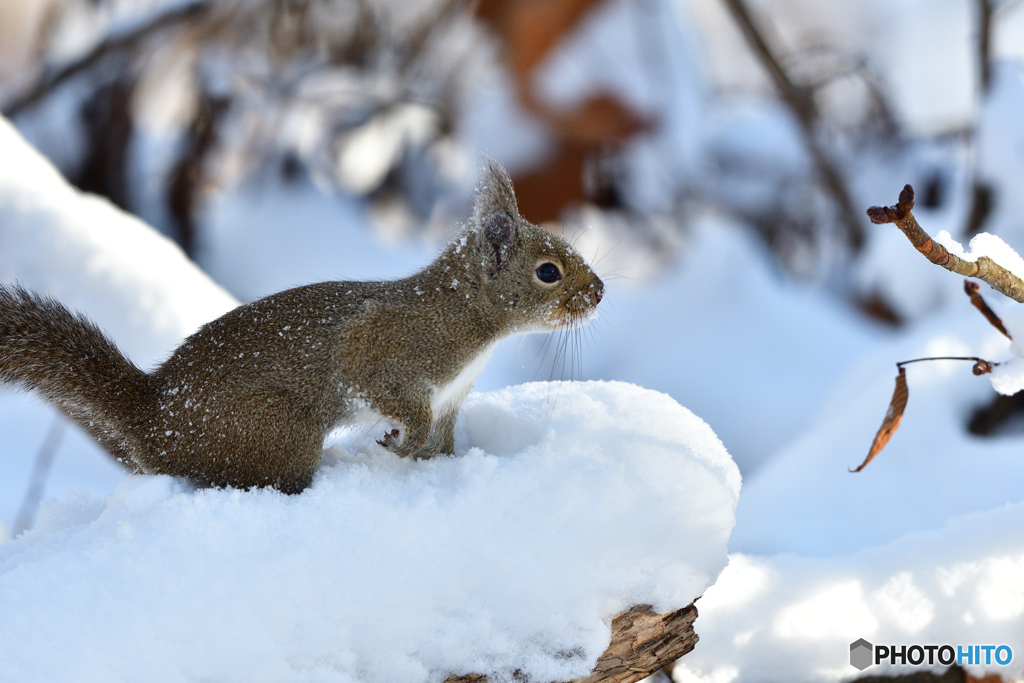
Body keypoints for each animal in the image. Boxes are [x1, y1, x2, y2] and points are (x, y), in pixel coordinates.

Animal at [0, 160, 602, 491]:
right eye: (548, 272)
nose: (598, 293)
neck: (467, 317)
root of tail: (155, 423)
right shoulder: (383, 351)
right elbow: (399, 403)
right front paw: (399, 443)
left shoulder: (454, 395)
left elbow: (446, 437)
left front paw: (436, 459)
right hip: (280, 435)